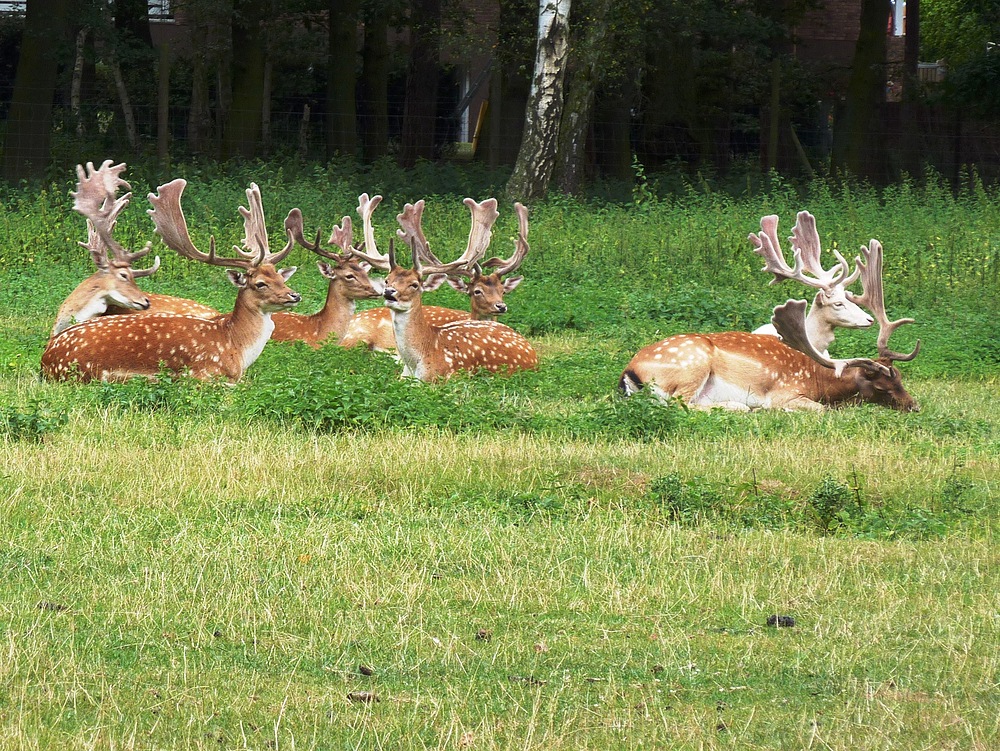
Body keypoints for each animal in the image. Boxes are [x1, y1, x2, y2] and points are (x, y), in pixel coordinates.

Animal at [42, 180, 300, 384]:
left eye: (281, 277)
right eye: (260, 283)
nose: (294, 295)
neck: (234, 346)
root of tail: (45, 358)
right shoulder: (203, 373)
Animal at [616, 238, 920, 412]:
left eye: (901, 378)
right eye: (882, 387)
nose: (914, 406)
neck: (817, 379)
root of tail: (629, 373)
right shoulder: (783, 394)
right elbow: (822, 411)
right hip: (692, 365)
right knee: (679, 405)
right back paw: (738, 407)